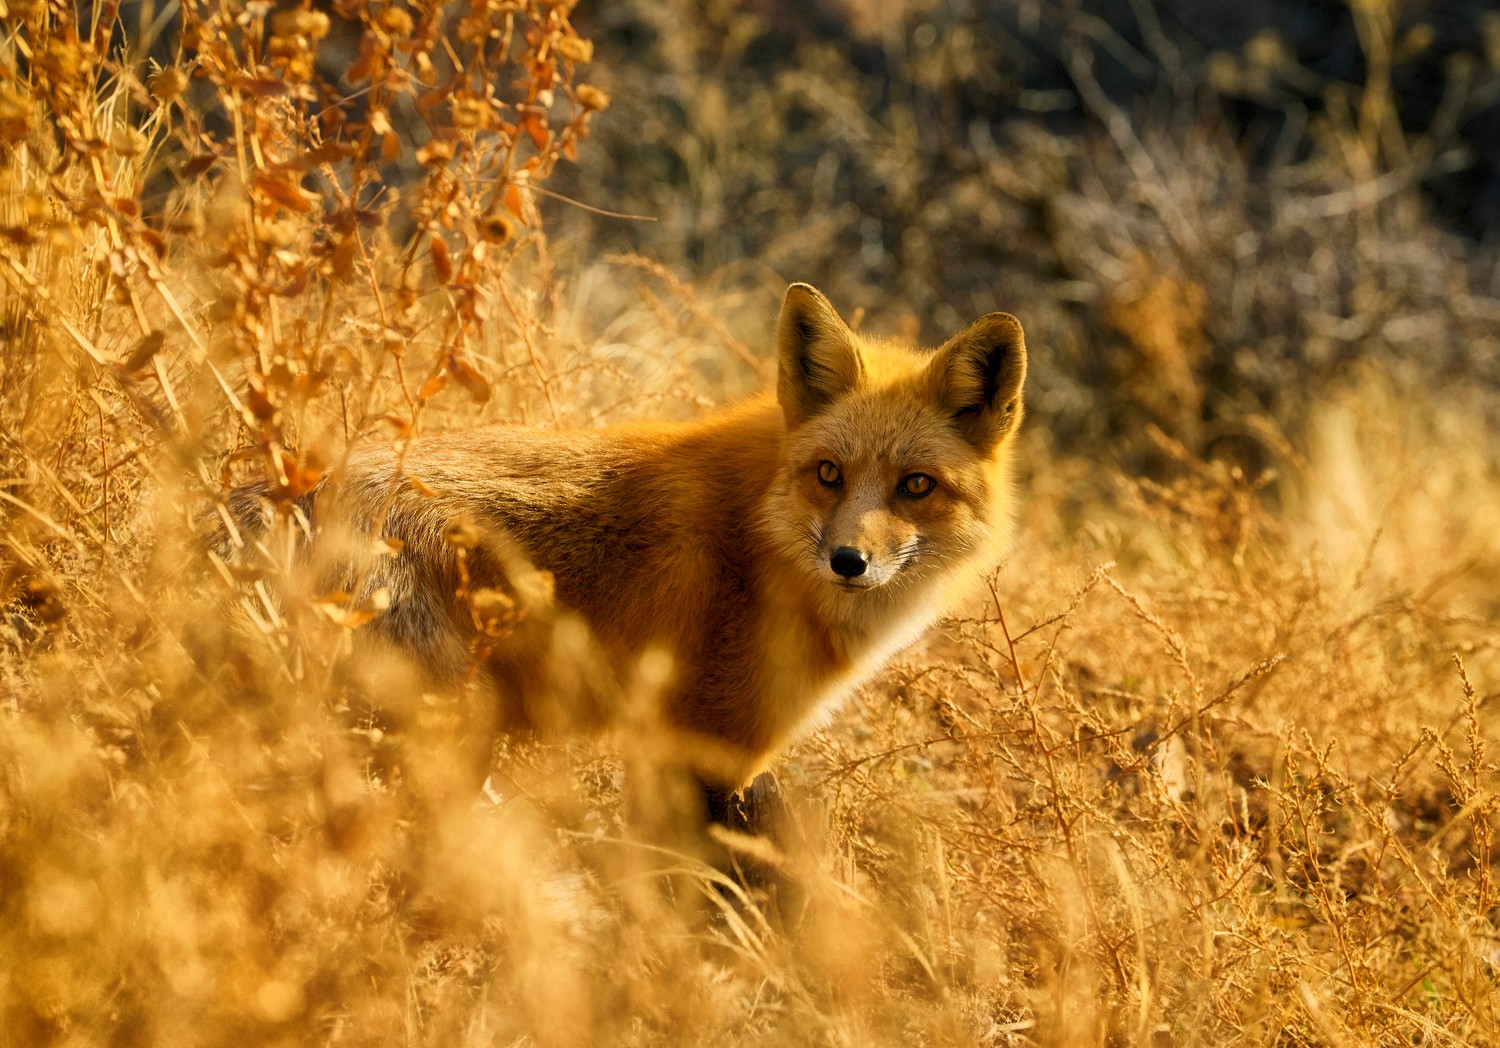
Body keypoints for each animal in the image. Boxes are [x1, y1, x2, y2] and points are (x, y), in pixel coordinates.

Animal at [222, 283, 1026, 821]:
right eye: (830, 474)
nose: (849, 561)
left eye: (915, 485)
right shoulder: (696, 752)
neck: (762, 537)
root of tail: (290, 489)